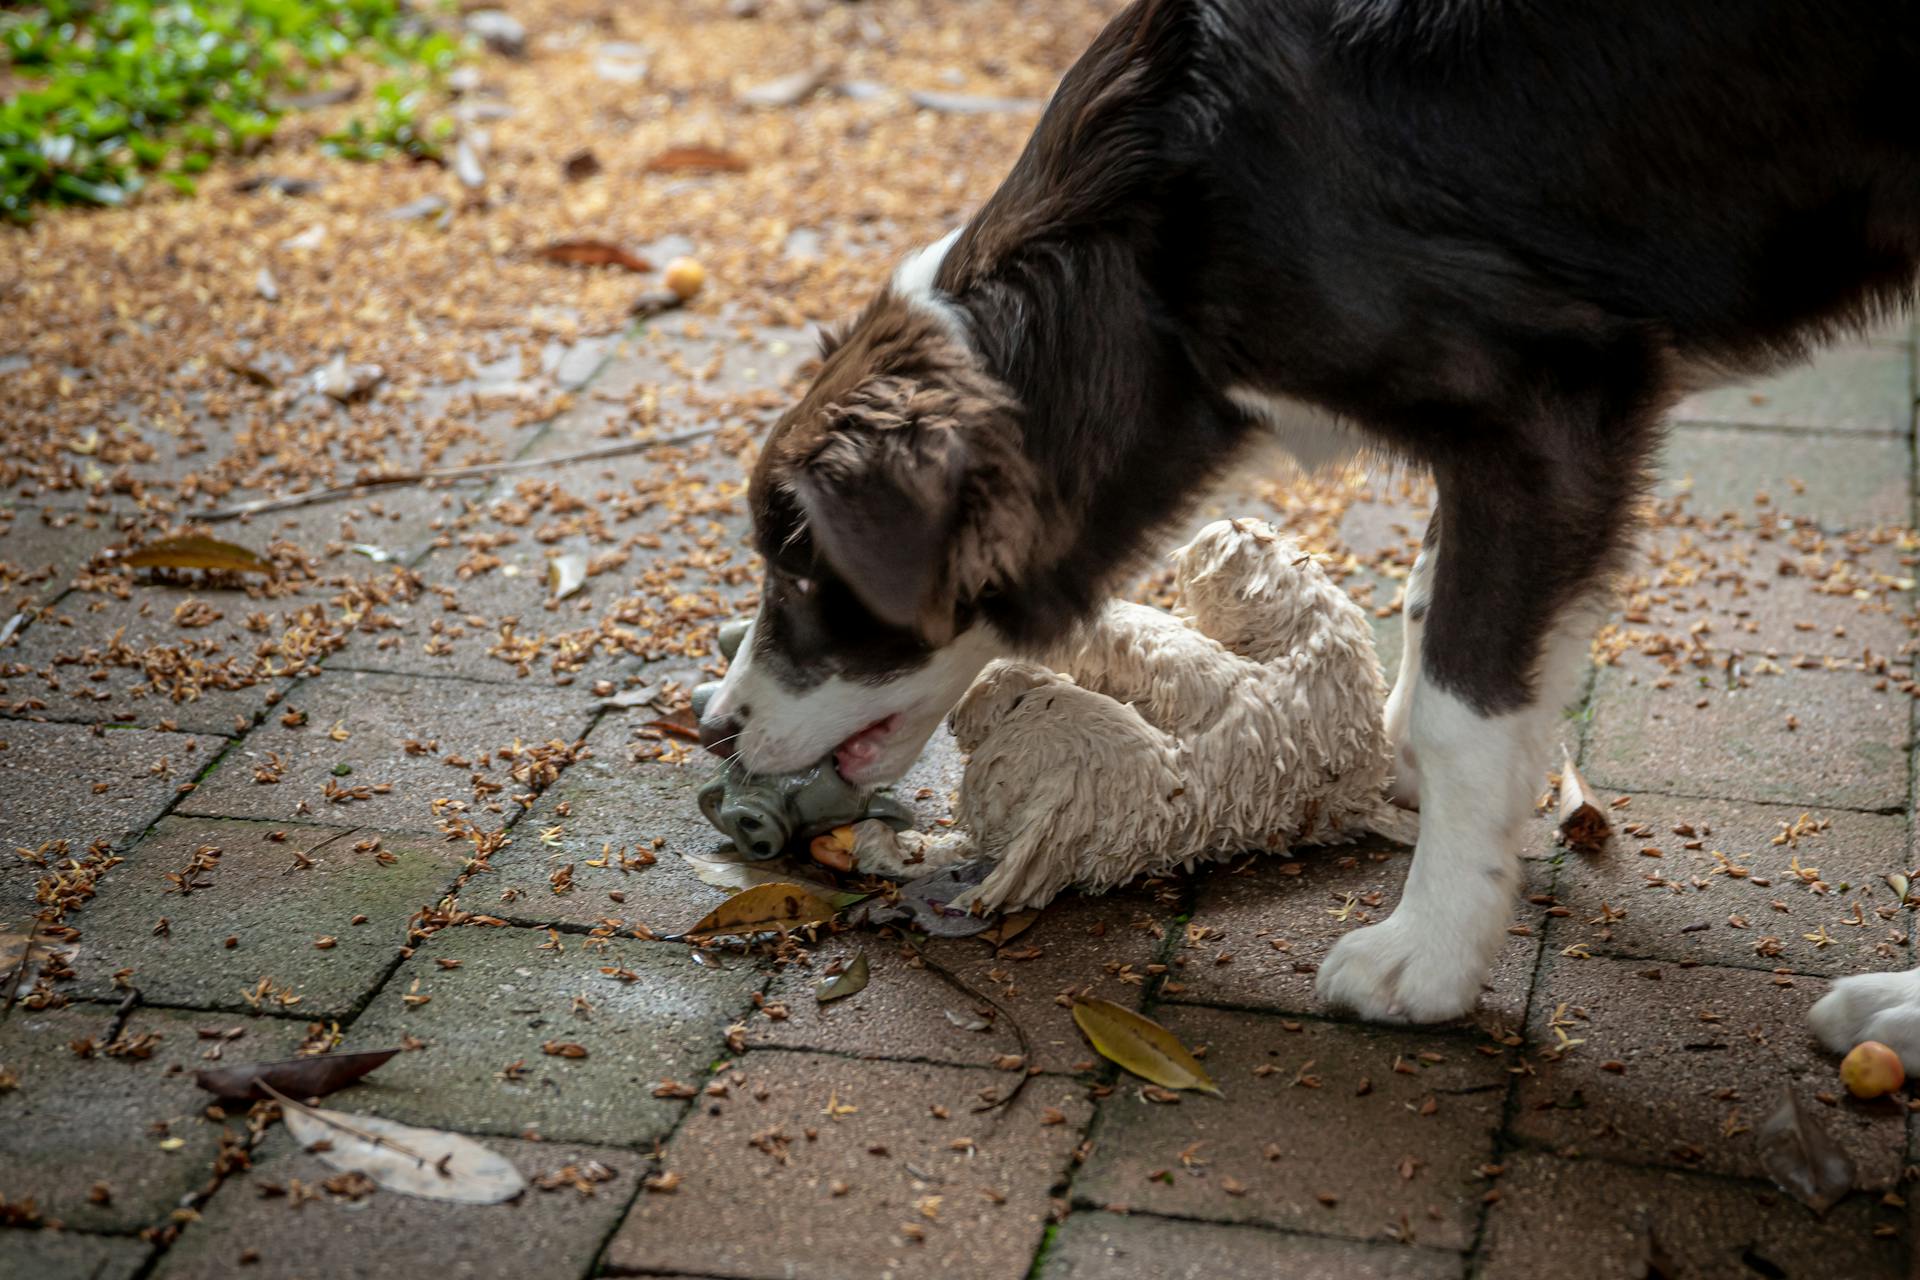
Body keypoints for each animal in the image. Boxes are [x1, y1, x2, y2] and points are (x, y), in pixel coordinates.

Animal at [698, 0, 1920, 1036]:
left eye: (799, 566)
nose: (709, 726)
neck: (1157, 237)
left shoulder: (1550, 408)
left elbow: (1466, 699)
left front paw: (1429, 956)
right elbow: (1434, 611)